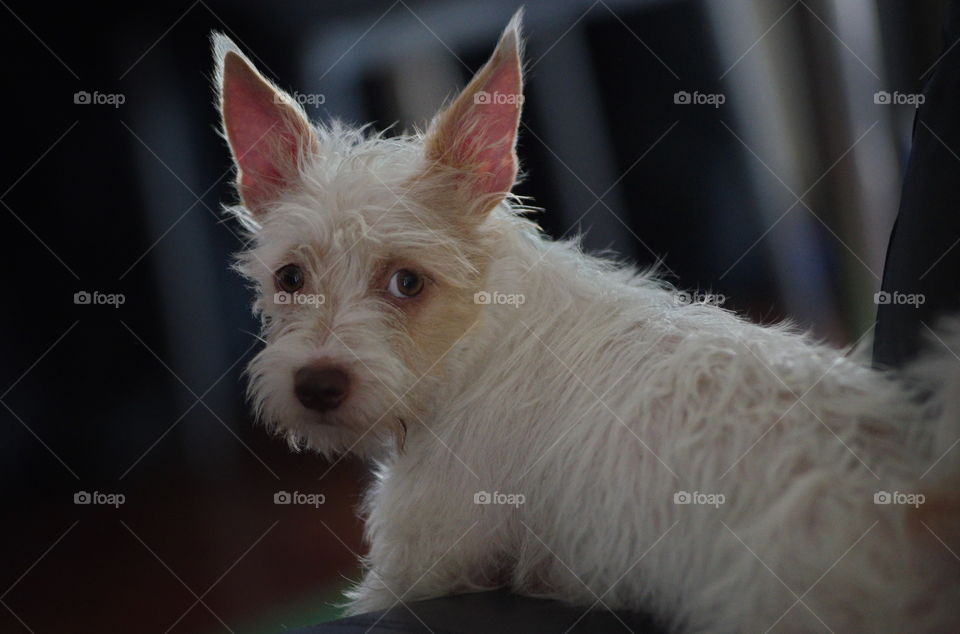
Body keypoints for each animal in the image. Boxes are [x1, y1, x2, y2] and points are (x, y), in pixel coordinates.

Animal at [214, 12, 956, 628]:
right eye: (290, 278)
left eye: (407, 282)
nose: (317, 386)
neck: (478, 339)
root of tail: (919, 499)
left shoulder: (416, 568)